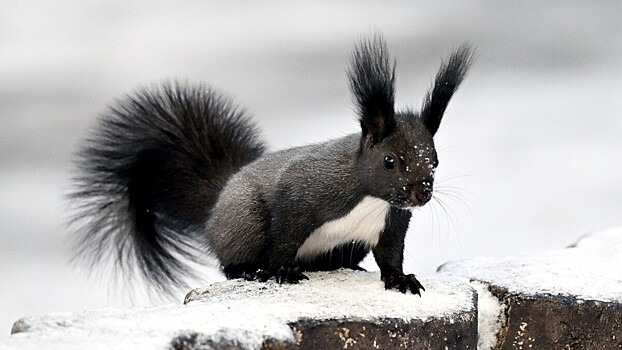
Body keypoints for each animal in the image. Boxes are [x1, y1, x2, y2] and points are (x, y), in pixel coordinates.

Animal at [69, 35, 472, 296]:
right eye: (390, 161)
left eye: (435, 160)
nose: (422, 193)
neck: (370, 197)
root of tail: (217, 203)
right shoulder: (303, 193)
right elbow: (284, 236)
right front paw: (282, 271)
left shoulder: (391, 223)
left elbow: (390, 256)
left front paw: (401, 280)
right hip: (245, 221)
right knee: (232, 260)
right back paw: (250, 270)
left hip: (346, 246)